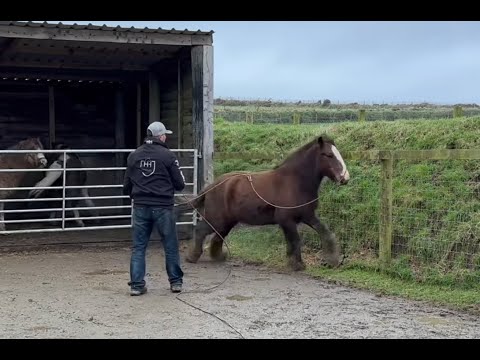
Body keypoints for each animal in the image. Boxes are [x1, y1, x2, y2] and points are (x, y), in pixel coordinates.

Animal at [174, 135, 350, 270]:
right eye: (328, 155)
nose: (345, 178)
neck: (294, 182)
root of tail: (212, 186)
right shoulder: (287, 220)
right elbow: (295, 240)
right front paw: (298, 264)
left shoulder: (307, 216)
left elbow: (324, 233)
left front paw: (332, 260)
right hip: (216, 219)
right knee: (201, 231)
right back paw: (192, 256)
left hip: (227, 222)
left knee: (218, 237)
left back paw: (218, 256)